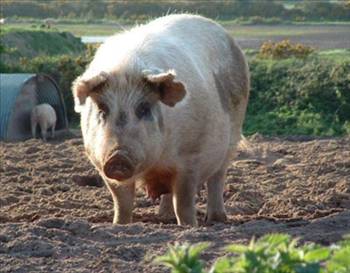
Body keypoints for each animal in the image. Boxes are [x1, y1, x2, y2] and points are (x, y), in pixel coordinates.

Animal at [72, 13, 250, 225]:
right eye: (102, 109)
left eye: (143, 108)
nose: (118, 158)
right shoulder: (100, 162)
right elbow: (122, 202)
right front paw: (118, 225)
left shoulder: (191, 159)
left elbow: (183, 202)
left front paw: (190, 226)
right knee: (168, 191)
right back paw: (165, 217)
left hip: (233, 136)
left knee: (217, 178)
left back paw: (217, 219)